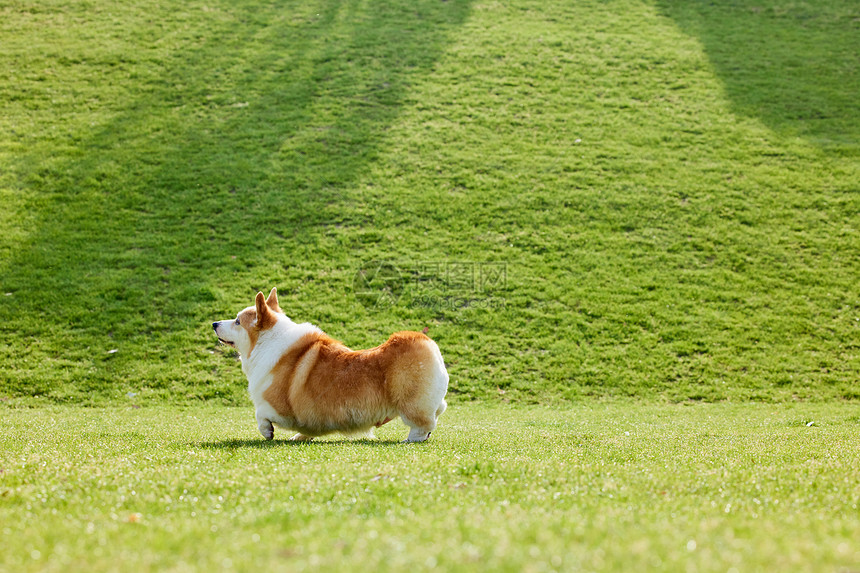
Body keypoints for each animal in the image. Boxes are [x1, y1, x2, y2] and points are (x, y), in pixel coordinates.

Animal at [212, 286, 450, 442]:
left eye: (237, 321)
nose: (214, 323)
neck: (265, 342)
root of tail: (426, 341)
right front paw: (300, 437)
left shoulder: (279, 406)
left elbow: (259, 413)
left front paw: (267, 432)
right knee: (440, 409)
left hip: (411, 405)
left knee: (423, 424)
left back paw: (410, 439)